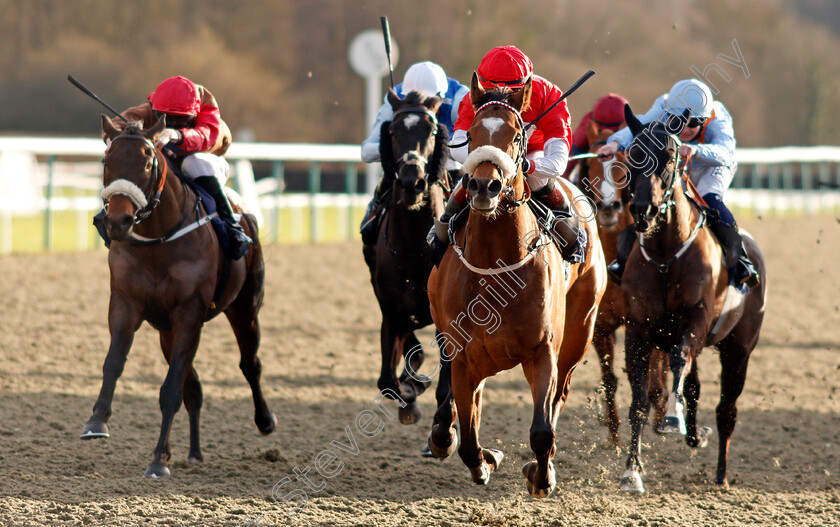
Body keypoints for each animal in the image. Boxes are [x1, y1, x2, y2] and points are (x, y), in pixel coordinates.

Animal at [81, 115, 274, 478]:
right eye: (106, 161)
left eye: (147, 163)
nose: (117, 221)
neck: (158, 241)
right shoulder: (125, 303)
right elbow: (113, 363)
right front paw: (96, 421)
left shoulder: (189, 314)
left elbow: (170, 390)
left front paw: (159, 459)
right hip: (166, 332)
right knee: (193, 387)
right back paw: (195, 453)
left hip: (245, 307)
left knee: (249, 363)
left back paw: (265, 420)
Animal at [362, 89, 452, 428]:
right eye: (392, 131)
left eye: (432, 130)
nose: (412, 182)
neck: (415, 247)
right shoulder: (391, 310)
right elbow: (387, 381)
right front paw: (411, 392)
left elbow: (446, 387)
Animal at [426, 75, 604, 500]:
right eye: (472, 133)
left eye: (517, 135)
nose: (483, 186)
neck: (495, 267)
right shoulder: (463, 357)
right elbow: (469, 437)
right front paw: (484, 461)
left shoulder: (542, 351)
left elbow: (542, 430)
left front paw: (541, 476)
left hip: (580, 332)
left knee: (560, 395)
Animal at [576, 121, 668, 448]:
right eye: (590, 165)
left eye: (624, 169)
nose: (609, 206)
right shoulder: (600, 326)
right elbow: (610, 380)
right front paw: (615, 436)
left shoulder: (646, 322)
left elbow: (652, 378)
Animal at [616, 105, 768, 492]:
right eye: (632, 154)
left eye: (671, 157)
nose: (643, 212)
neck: (665, 254)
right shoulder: (638, 332)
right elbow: (639, 402)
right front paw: (631, 471)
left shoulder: (695, 323)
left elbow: (680, 360)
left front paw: (673, 418)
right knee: (695, 385)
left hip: (739, 349)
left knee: (727, 410)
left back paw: (721, 473)